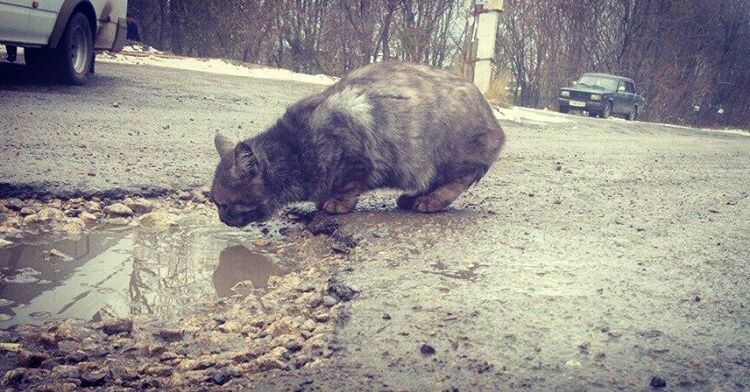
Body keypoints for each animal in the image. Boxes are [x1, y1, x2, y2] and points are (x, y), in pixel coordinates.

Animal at [210, 61, 506, 227]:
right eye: (214, 203)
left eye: (224, 204)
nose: (221, 219)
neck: (294, 152)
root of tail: (495, 123)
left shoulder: (355, 146)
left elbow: (348, 186)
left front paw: (335, 203)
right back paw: (413, 197)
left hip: (450, 157)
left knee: (456, 181)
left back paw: (430, 200)